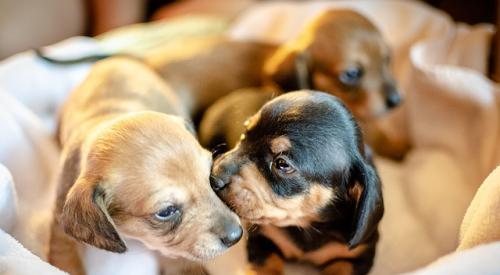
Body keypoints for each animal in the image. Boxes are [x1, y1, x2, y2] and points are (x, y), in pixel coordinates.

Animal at [207, 91, 382, 274]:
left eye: (282, 164)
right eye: (244, 135)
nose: (213, 177)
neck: (307, 225)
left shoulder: (358, 256)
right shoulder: (263, 238)